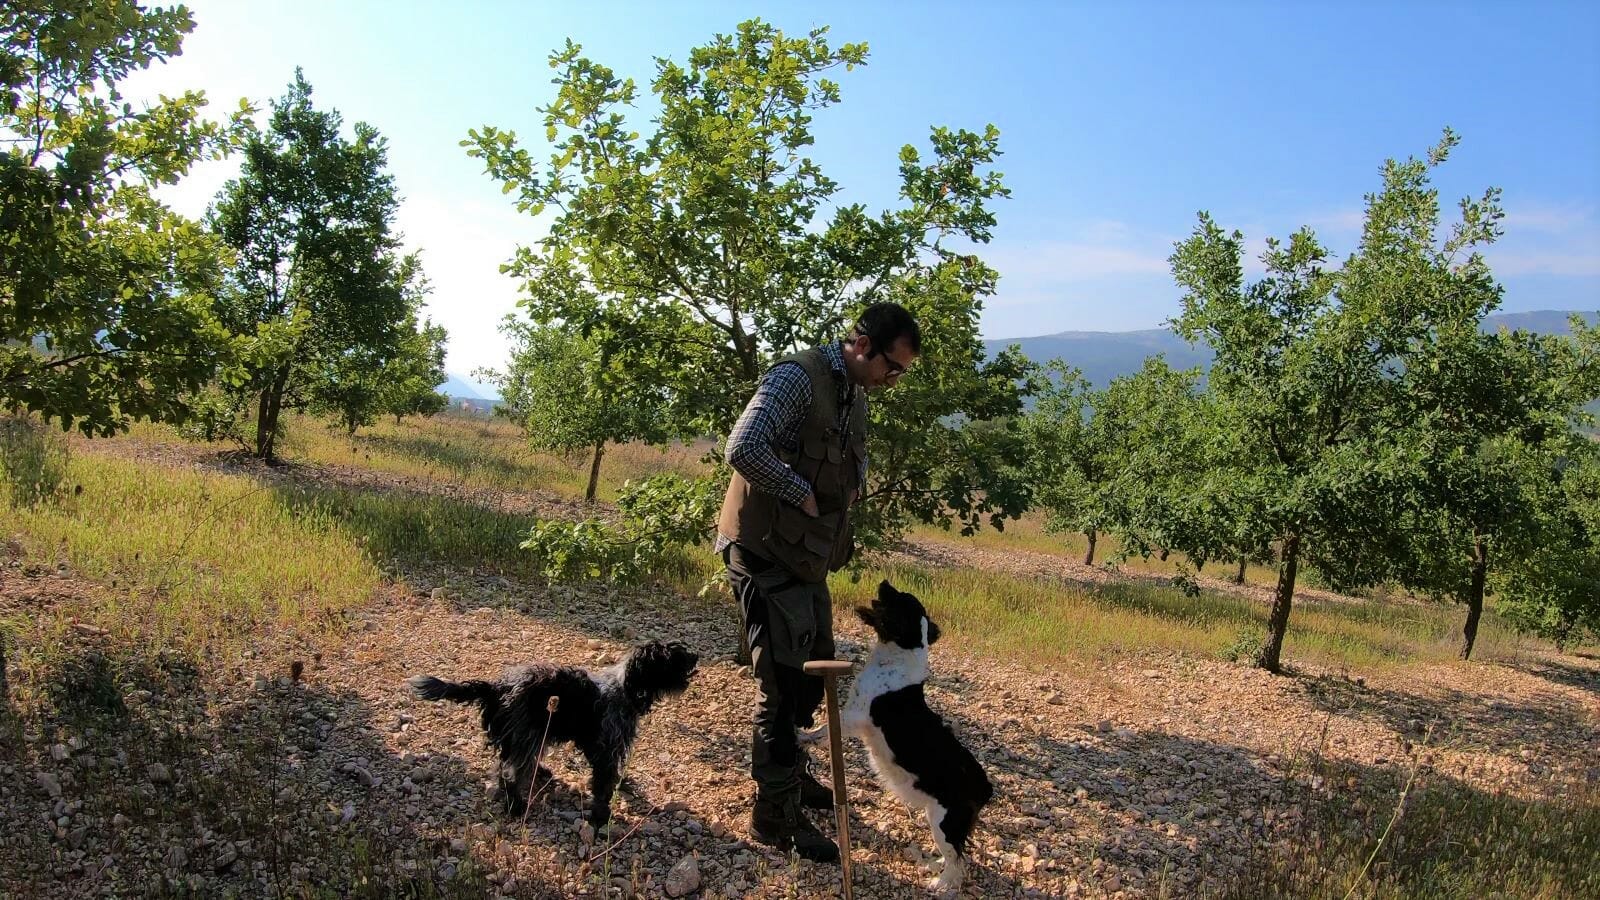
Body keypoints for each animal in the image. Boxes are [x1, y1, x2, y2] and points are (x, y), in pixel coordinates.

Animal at [409, 634, 697, 826]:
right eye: (673, 657)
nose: (696, 657)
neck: (624, 688)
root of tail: (495, 689)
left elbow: (612, 776)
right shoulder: (606, 747)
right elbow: (602, 784)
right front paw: (601, 816)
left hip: (519, 737)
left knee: (502, 767)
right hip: (528, 735)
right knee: (510, 772)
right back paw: (516, 805)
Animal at [844, 582, 992, 890]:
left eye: (897, 597)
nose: (885, 582)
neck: (898, 658)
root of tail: (985, 787)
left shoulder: (855, 716)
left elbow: (822, 731)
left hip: (943, 822)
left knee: (958, 862)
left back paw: (941, 885)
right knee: (954, 855)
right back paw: (934, 865)